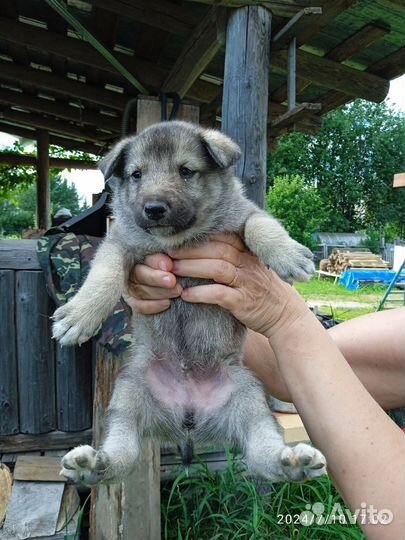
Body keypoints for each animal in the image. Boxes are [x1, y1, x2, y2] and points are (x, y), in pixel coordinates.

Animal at [52, 121, 326, 486]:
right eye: (136, 174)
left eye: (185, 171)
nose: (154, 208)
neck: (178, 240)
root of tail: (188, 419)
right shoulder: (119, 244)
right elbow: (103, 275)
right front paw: (80, 315)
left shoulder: (244, 216)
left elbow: (260, 224)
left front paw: (288, 253)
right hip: (130, 393)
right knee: (123, 451)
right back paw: (92, 464)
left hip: (248, 397)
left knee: (261, 451)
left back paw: (294, 462)